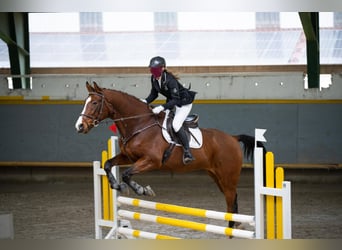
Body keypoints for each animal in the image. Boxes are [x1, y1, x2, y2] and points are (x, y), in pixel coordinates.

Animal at [76, 81, 266, 229]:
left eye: (94, 103)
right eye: (86, 102)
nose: (79, 126)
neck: (139, 124)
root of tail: (233, 138)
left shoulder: (151, 161)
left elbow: (127, 174)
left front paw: (142, 190)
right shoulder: (128, 157)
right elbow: (108, 164)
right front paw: (117, 186)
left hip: (228, 176)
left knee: (231, 198)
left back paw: (232, 226)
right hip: (216, 175)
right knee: (231, 198)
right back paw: (235, 225)